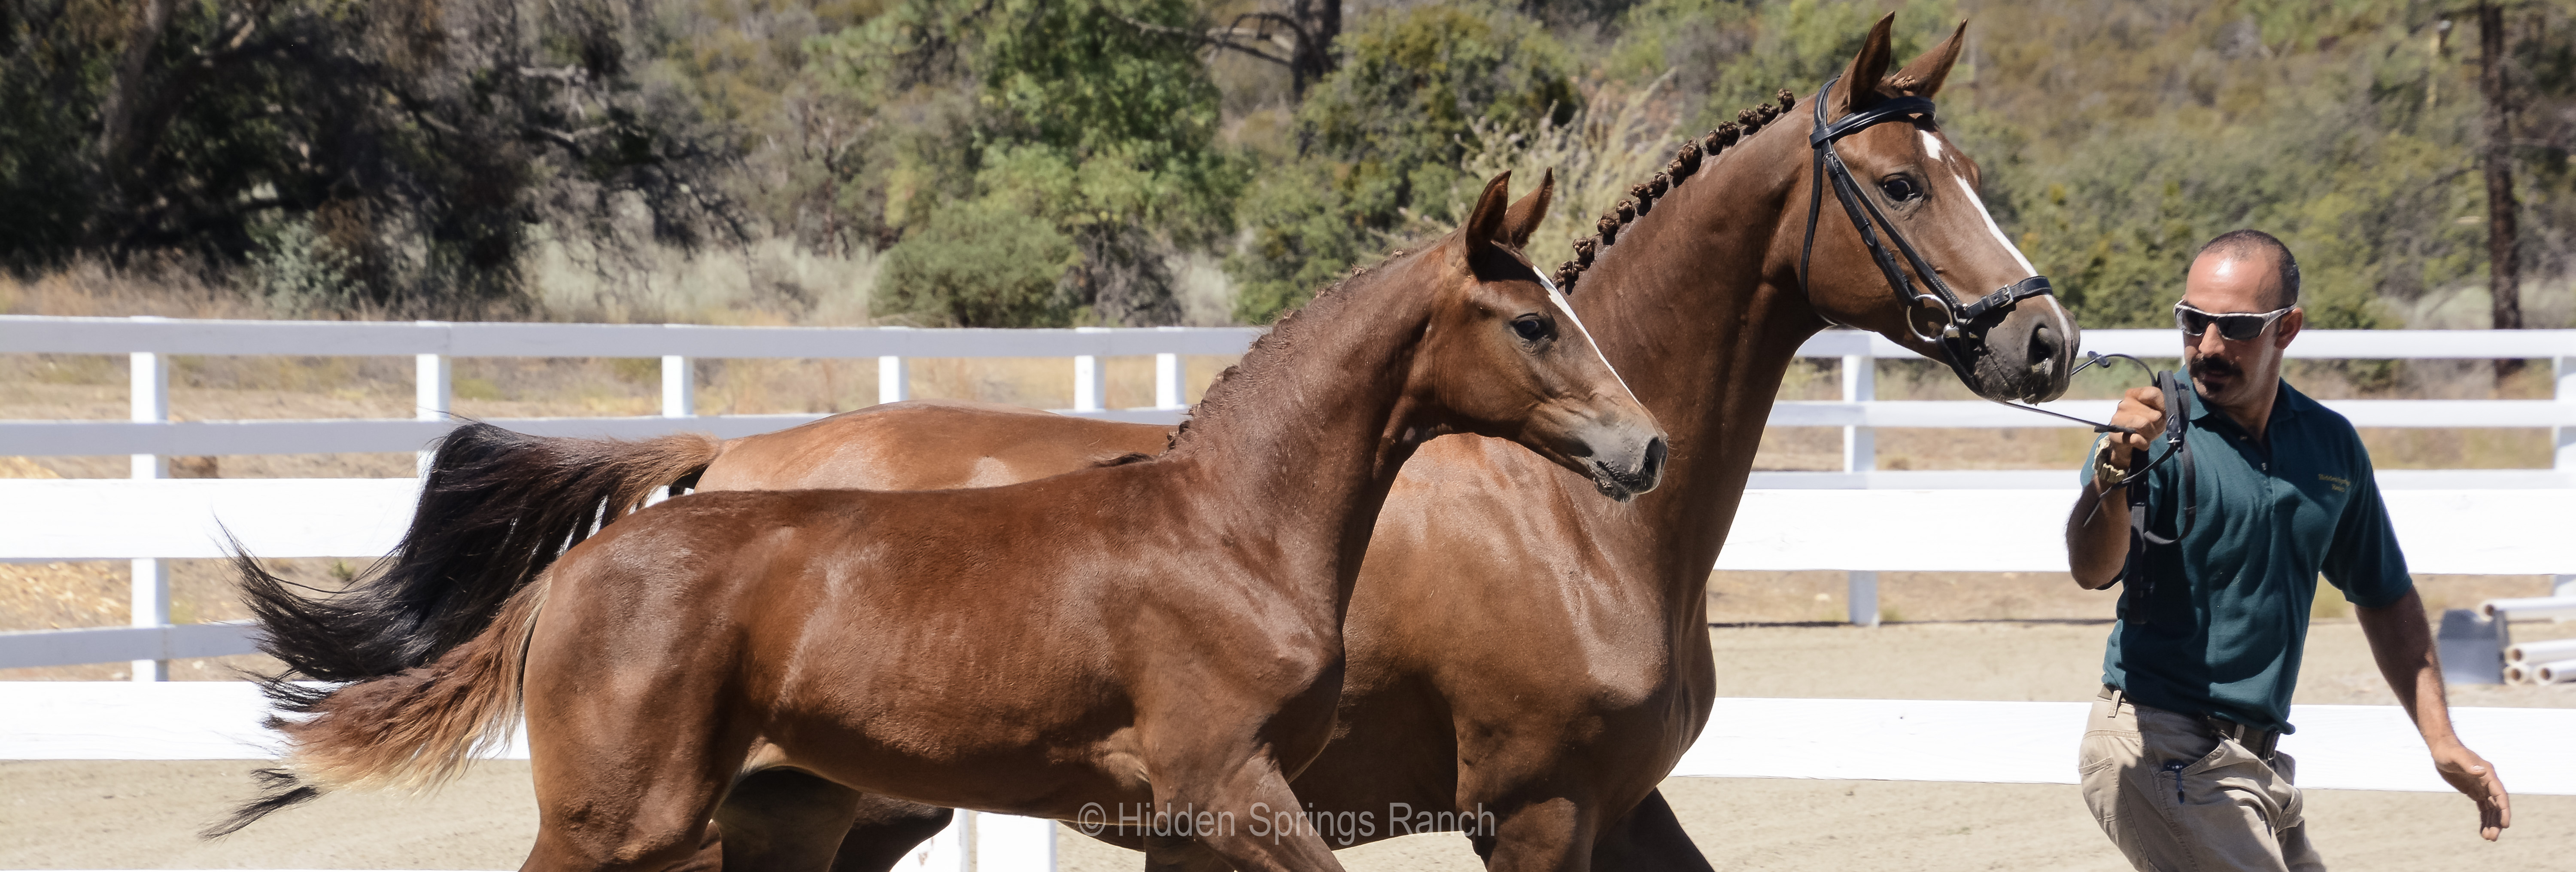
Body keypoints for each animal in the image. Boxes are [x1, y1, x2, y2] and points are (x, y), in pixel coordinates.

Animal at [227, 174, 1669, 872]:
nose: (1643, 445)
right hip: (613, 821)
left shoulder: (1194, 819)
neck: (1232, 532)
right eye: (1530, 321)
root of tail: (579, 569)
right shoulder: (1232, 786)